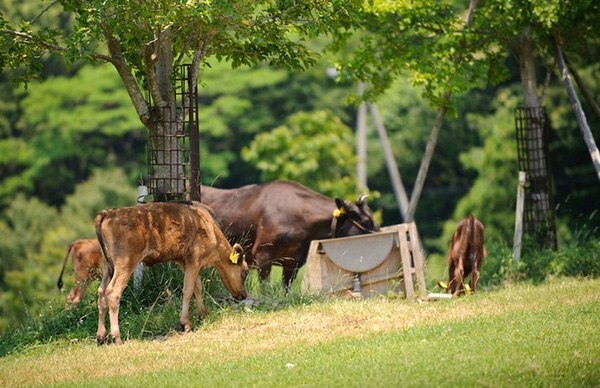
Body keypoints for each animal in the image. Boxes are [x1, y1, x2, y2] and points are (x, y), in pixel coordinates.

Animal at [94, 202, 248, 344]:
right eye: (245, 272)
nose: (243, 295)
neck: (209, 227)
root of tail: (108, 213)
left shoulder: (186, 263)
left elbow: (197, 286)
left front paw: (202, 314)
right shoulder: (194, 260)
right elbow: (188, 290)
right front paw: (186, 324)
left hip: (107, 266)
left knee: (101, 292)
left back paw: (101, 337)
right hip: (125, 264)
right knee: (113, 292)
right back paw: (117, 337)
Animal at [202, 181, 380, 288]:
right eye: (365, 221)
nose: (379, 233)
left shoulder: (293, 262)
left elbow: (286, 288)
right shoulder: (263, 256)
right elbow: (265, 287)